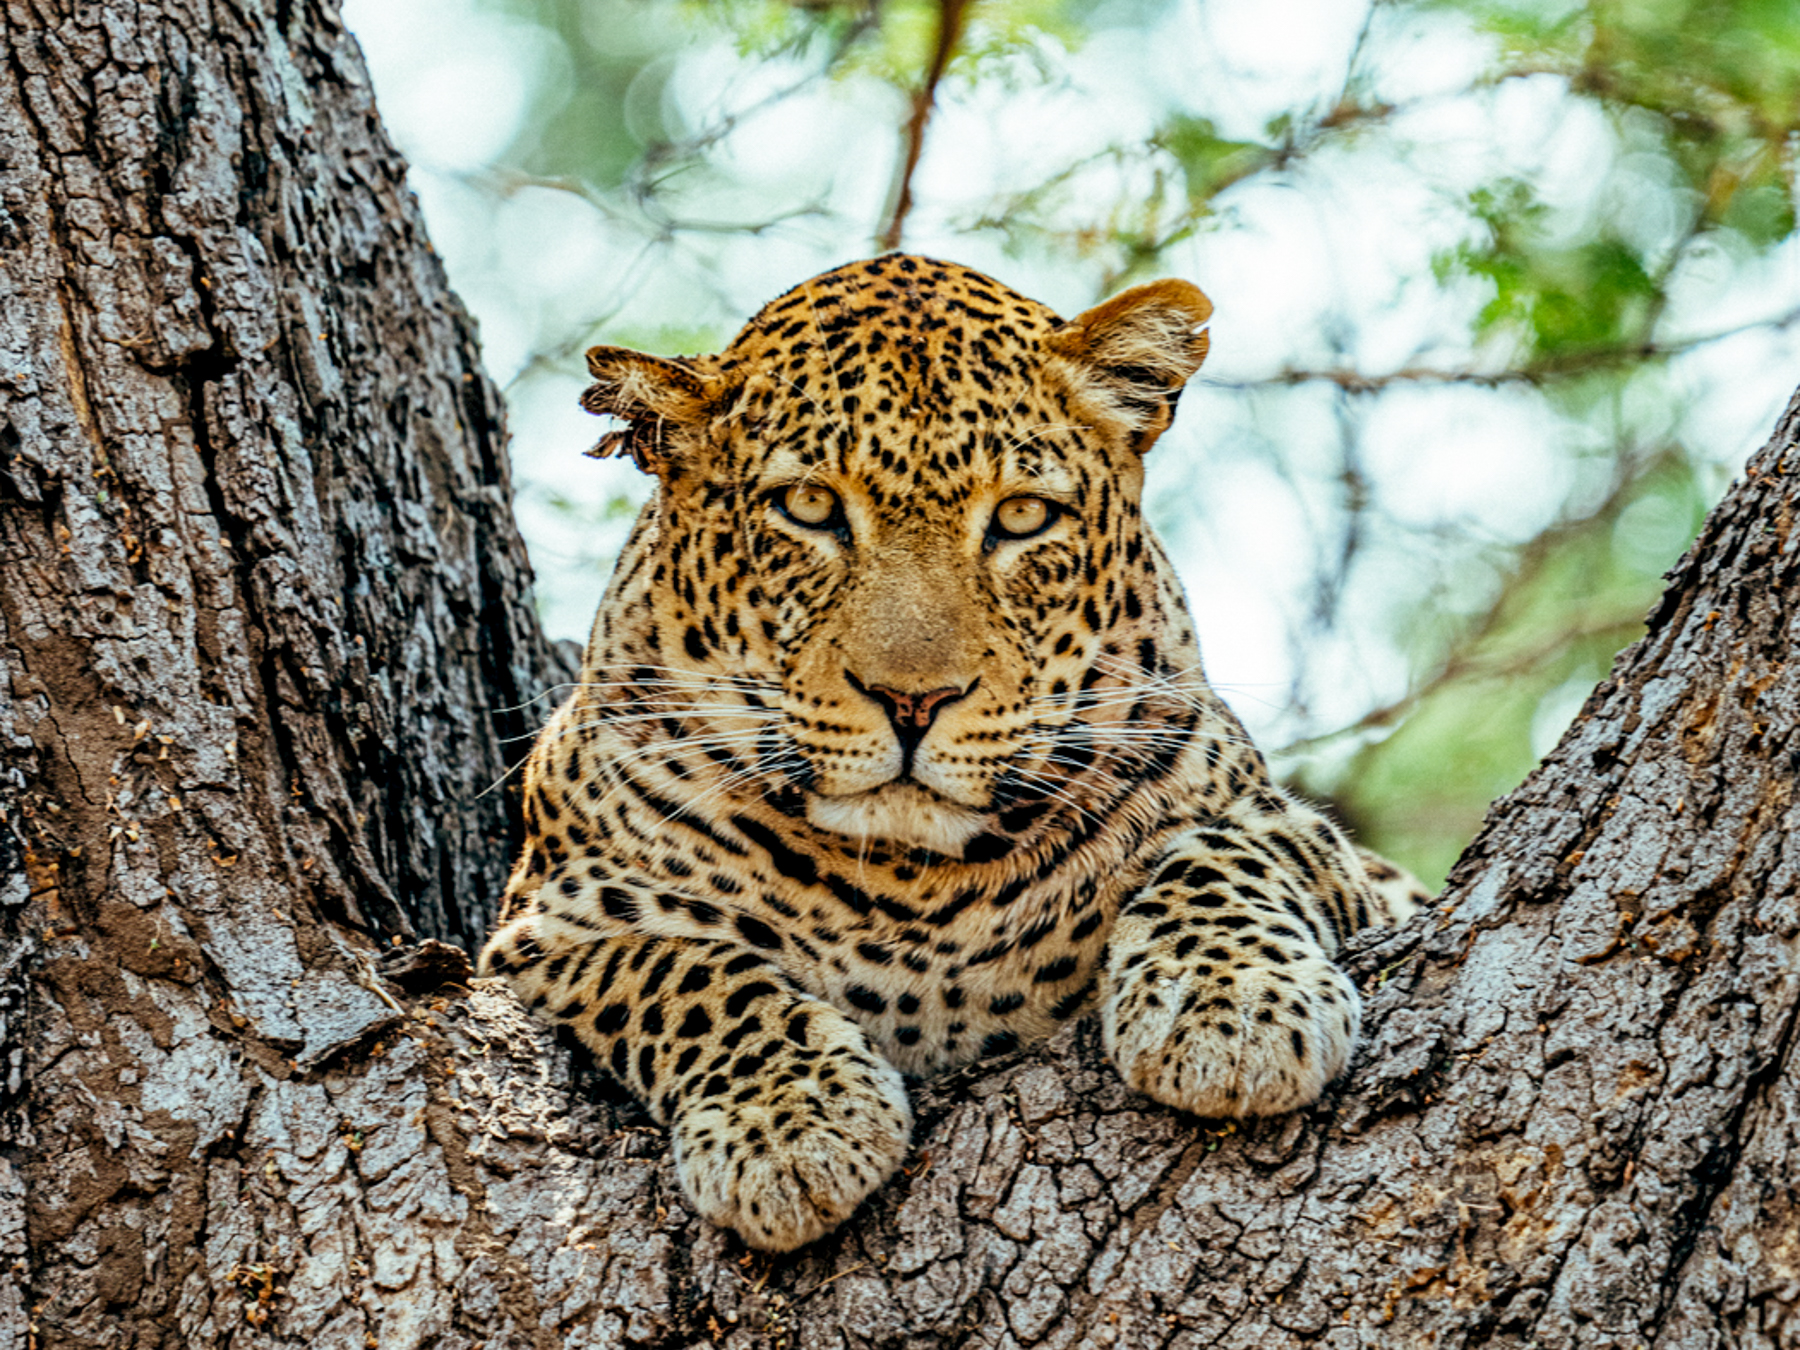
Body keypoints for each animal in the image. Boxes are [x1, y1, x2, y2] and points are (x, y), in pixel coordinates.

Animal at [478, 254, 1427, 1252]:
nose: (913, 701)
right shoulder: (546, 926)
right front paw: (788, 1125)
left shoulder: (1303, 840)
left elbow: (1226, 850)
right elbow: (684, 969)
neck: (912, 883)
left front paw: (1232, 1007)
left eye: (1021, 517)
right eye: (808, 506)